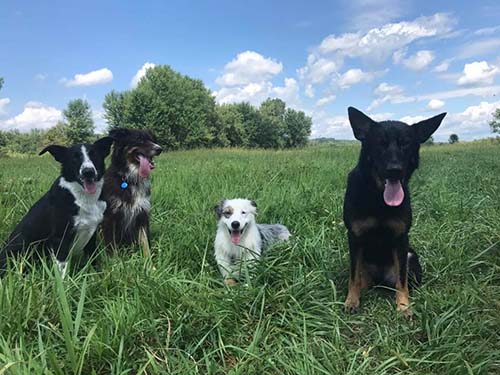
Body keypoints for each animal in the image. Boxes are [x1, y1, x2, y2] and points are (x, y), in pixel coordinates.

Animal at [0, 137, 113, 278]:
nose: (88, 172)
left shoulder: (91, 235)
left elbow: (93, 259)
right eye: (74, 158)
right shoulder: (60, 239)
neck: (82, 198)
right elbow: (62, 270)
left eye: (95, 155)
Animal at [344, 106, 446, 318]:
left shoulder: (401, 239)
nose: (394, 170)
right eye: (380, 144)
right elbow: (353, 277)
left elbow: (402, 280)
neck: (378, 199)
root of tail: (380, 278)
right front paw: (351, 300)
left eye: (405, 144)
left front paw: (404, 306)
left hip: (410, 256)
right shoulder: (354, 237)